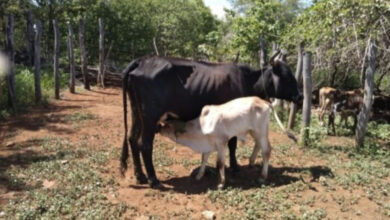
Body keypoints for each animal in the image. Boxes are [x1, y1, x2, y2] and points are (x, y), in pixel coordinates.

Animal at [158, 96, 296, 189]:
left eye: (167, 126)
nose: (158, 127)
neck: (201, 126)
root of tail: (264, 101)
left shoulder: (222, 143)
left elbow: (220, 164)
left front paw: (221, 183)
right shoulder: (208, 146)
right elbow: (203, 160)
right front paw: (199, 176)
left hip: (260, 131)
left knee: (266, 150)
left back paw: (262, 176)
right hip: (254, 132)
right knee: (258, 145)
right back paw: (251, 162)